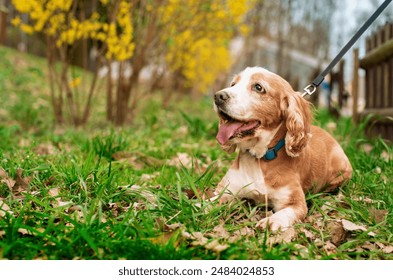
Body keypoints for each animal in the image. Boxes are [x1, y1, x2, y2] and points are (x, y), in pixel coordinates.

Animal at [213, 66, 350, 231]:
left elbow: (283, 214)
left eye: (258, 87)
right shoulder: (226, 189)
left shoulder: (295, 203)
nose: (218, 96)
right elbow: (211, 202)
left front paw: (270, 222)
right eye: (233, 84)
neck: (260, 158)